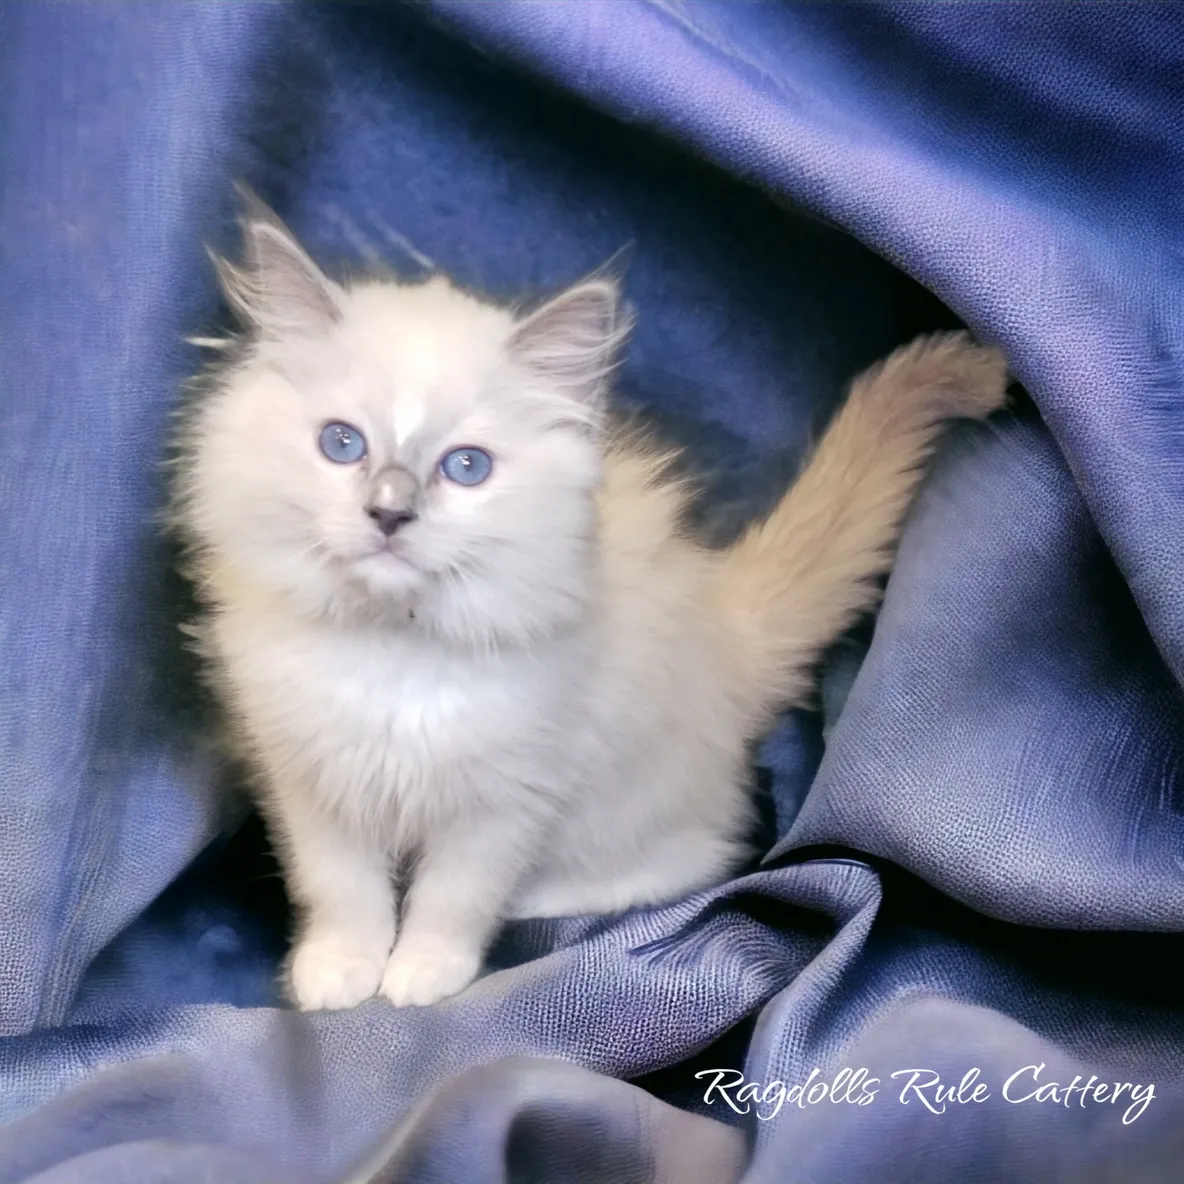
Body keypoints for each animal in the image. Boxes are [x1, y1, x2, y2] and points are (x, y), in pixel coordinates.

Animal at [172, 194, 1008, 1008]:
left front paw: (423, 974)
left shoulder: (510, 797)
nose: (389, 513)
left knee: (682, 864)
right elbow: (342, 889)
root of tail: (723, 626)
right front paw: (340, 970)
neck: (394, 654)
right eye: (342, 444)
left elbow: (453, 897)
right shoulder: (309, 783)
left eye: (466, 467)